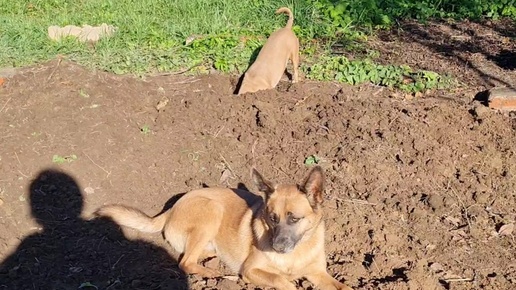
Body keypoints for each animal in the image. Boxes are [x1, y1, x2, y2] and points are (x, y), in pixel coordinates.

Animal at [96, 165, 352, 290]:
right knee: (185, 262)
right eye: (272, 218)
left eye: (294, 219)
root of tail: (171, 207)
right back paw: (212, 273)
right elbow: (283, 282)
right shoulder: (251, 270)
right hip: (212, 211)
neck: (293, 256)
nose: (277, 247)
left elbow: (343, 287)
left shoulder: (319, 274)